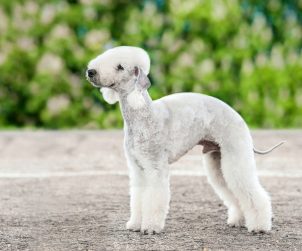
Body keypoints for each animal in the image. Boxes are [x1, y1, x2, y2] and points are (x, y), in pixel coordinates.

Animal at [86, 46, 280, 234]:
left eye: (120, 67)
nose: (90, 71)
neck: (142, 114)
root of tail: (238, 117)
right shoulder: (138, 168)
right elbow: (138, 197)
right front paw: (135, 224)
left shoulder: (155, 167)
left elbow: (154, 198)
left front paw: (150, 227)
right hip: (218, 160)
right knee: (232, 192)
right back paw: (238, 220)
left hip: (235, 156)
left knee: (252, 192)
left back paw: (260, 226)